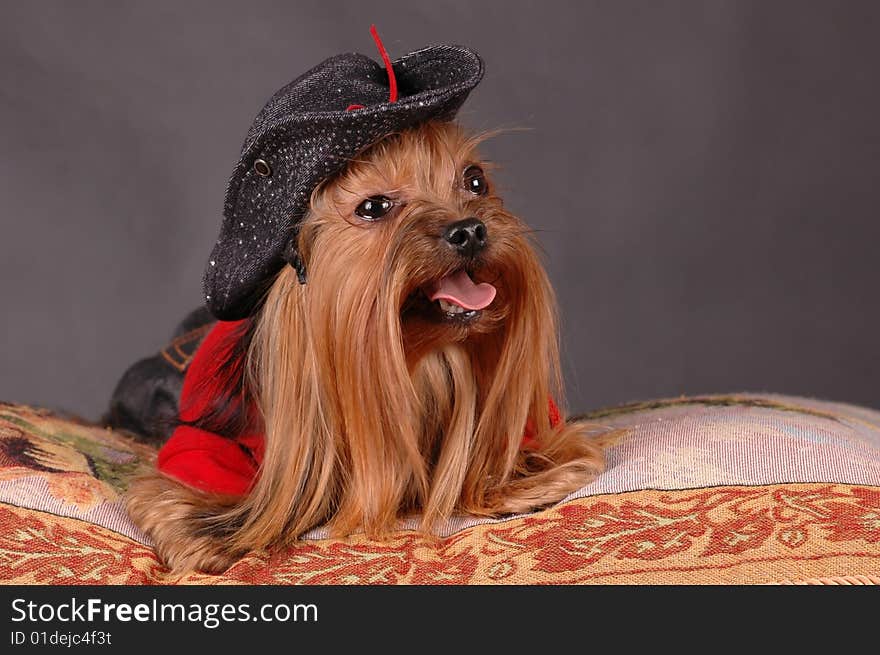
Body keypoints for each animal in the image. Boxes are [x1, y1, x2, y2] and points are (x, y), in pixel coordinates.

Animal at [124, 120, 604, 572]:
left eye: (474, 181)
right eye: (373, 207)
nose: (469, 230)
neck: (418, 361)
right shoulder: (211, 443)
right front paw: (206, 535)